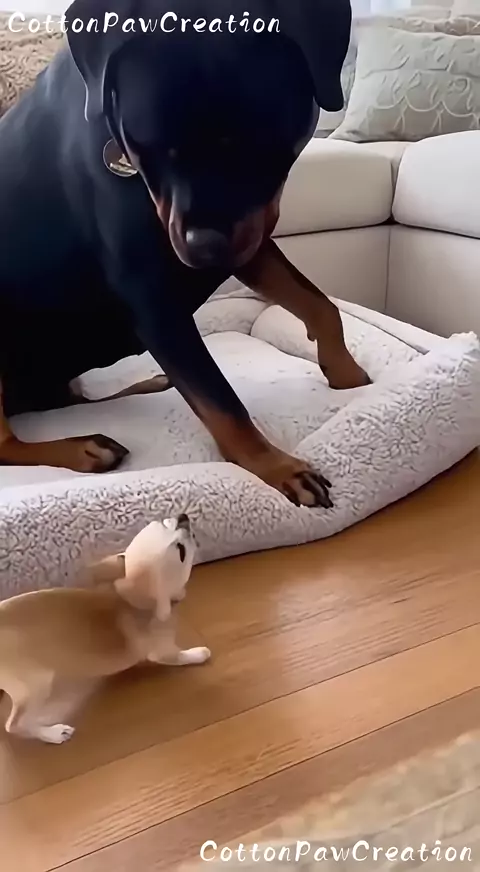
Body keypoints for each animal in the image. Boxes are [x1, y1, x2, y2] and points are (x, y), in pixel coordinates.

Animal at [0, 0, 369, 509]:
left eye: (260, 146)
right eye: (146, 147)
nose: (203, 246)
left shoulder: (249, 239)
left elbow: (319, 304)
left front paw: (350, 375)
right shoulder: (155, 301)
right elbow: (220, 399)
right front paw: (277, 466)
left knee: (62, 400)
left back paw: (145, 385)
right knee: (6, 440)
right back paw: (83, 447)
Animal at [0, 513, 210, 743]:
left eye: (164, 522)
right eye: (181, 551)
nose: (183, 517)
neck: (132, 600)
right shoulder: (162, 652)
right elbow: (181, 656)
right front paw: (198, 653)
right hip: (37, 682)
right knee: (14, 725)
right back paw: (52, 733)